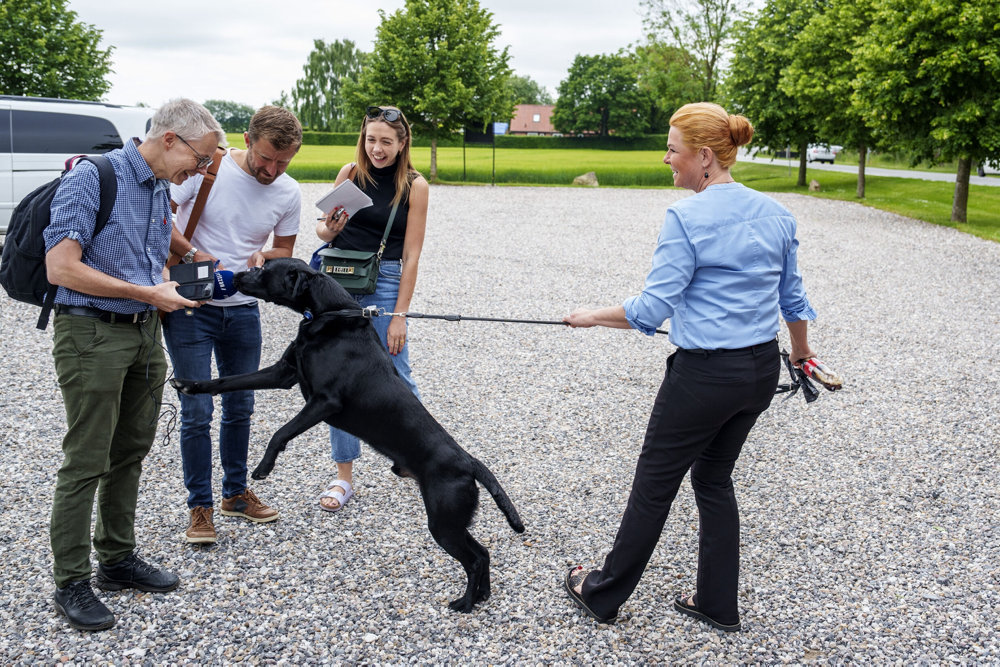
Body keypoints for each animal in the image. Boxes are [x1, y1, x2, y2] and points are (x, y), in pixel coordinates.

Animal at [173, 258, 528, 612]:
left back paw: (466, 602)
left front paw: (264, 467)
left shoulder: (324, 401)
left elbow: (280, 432)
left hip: (444, 521)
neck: (330, 314)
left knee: (475, 558)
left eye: (265, 269)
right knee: (483, 553)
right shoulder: (282, 373)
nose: (235, 275)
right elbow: (227, 381)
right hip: (452, 521)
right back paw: (482, 595)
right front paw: (189, 385)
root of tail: (469, 462)